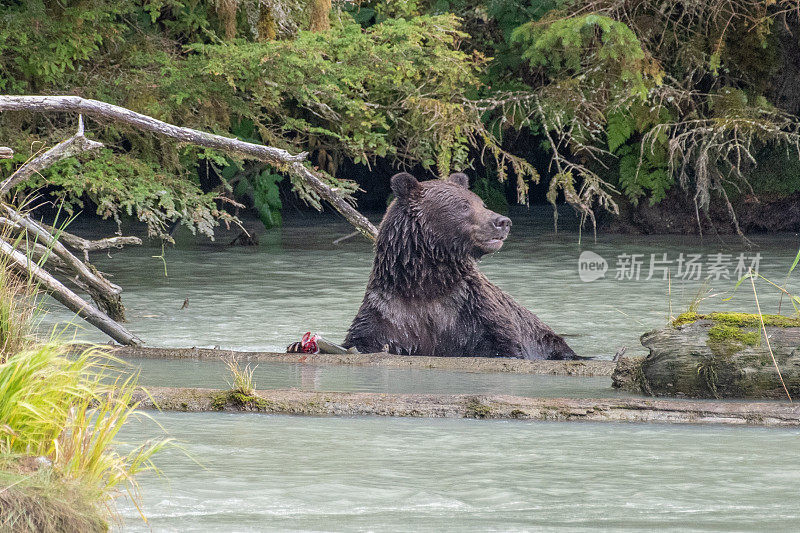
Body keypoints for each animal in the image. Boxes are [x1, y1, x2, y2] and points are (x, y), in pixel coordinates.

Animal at [340, 172, 580, 360]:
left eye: (481, 203)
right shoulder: (390, 312)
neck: (425, 282)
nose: (503, 222)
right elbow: (363, 340)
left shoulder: (471, 309)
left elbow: (504, 342)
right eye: (464, 206)